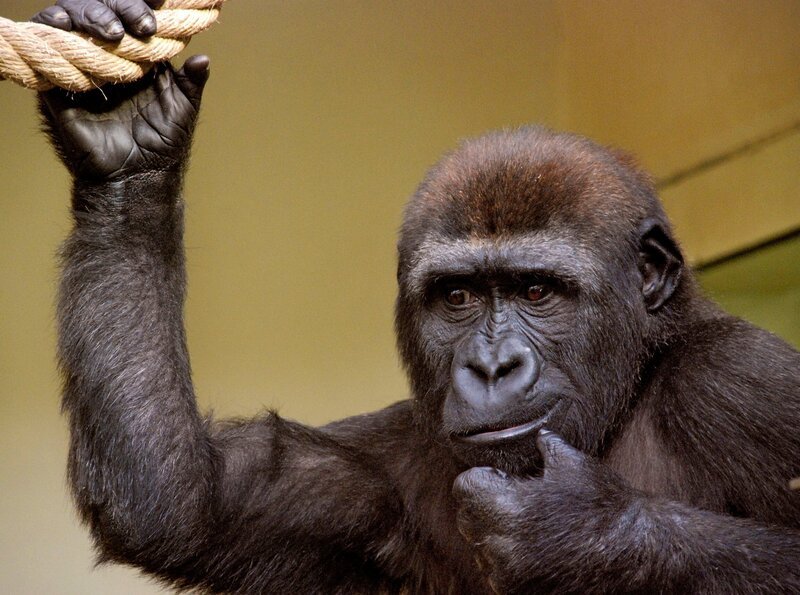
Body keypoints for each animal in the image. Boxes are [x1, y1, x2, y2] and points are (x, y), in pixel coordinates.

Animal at [34, 1, 800, 593]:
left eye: (537, 290)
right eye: (456, 296)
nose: (491, 367)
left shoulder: (739, 382)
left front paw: (579, 531)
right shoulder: (387, 459)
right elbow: (183, 504)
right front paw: (131, 137)